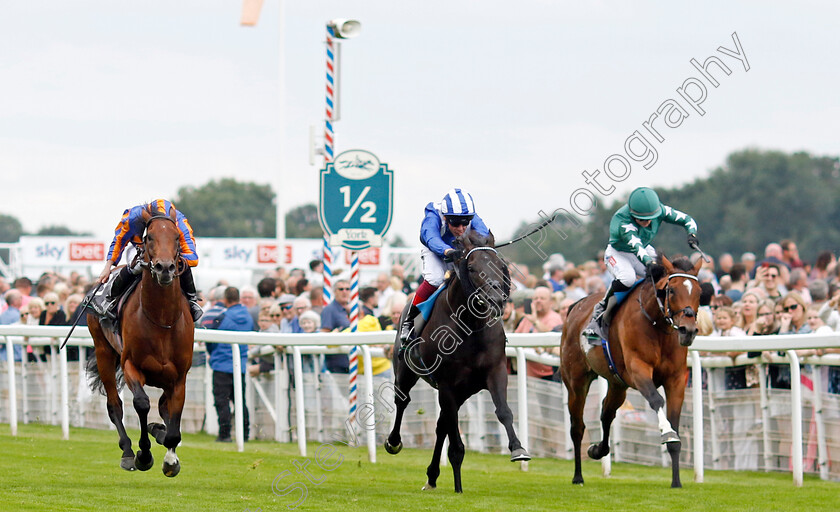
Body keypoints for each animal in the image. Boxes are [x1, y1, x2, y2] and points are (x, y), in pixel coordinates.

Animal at [87, 204, 195, 476]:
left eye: (176, 237)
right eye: (149, 238)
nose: (165, 268)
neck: (162, 320)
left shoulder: (179, 377)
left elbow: (173, 421)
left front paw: (170, 458)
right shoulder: (130, 365)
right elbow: (142, 403)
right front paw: (143, 455)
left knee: (163, 407)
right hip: (103, 352)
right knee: (114, 405)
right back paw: (127, 451)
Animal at [384, 231, 528, 492]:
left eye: (500, 265)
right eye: (471, 268)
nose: (496, 298)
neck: (470, 326)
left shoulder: (495, 371)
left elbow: (503, 411)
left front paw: (518, 448)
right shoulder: (447, 383)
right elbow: (456, 444)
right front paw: (458, 487)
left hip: (462, 392)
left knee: (441, 424)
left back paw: (432, 476)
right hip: (406, 372)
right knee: (402, 401)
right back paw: (394, 442)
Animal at [564, 256, 704, 488]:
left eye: (699, 291)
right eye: (671, 290)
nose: (689, 330)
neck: (657, 326)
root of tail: (576, 307)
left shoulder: (676, 379)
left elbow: (675, 424)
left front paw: (676, 481)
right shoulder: (639, 369)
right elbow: (657, 400)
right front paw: (666, 432)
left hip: (617, 384)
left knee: (606, 413)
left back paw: (597, 450)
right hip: (576, 381)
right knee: (577, 427)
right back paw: (577, 476)